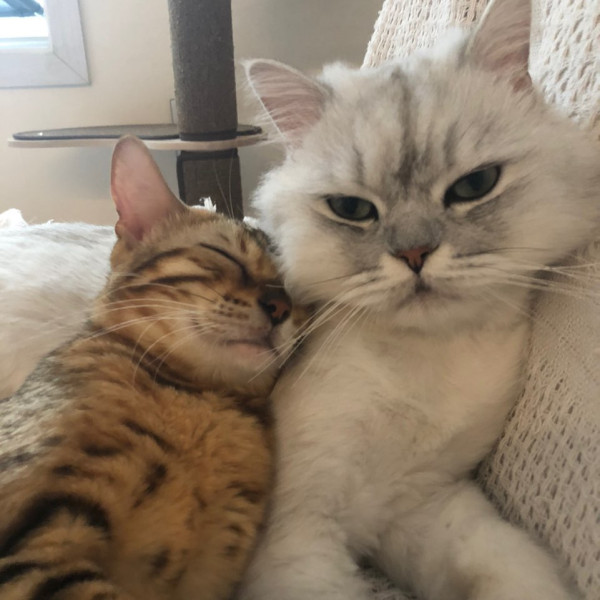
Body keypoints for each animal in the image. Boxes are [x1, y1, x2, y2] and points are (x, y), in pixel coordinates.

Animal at [0, 136, 305, 600]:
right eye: (222, 255)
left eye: (297, 291)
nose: (280, 305)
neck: (204, 401)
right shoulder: (38, 545)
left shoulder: (211, 569)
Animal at [239, 0, 600, 599]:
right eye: (352, 210)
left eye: (475, 186)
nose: (414, 254)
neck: (423, 367)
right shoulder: (299, 534)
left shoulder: (420, 506)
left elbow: (512, 567)